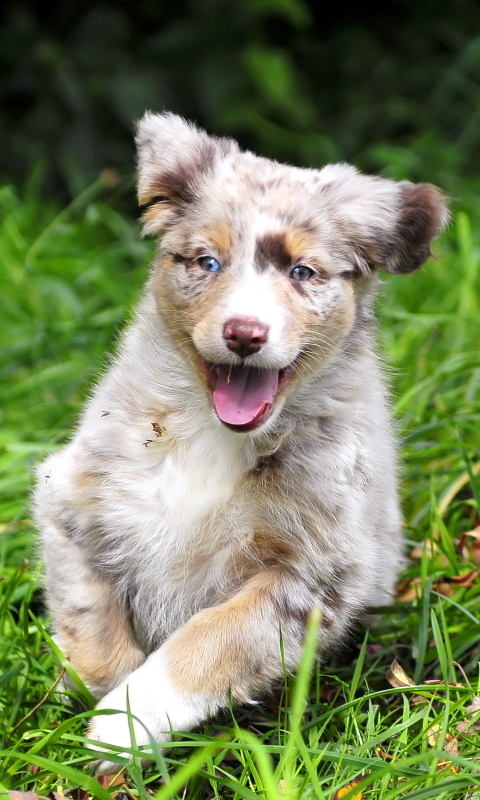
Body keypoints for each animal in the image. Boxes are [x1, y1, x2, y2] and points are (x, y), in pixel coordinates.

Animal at [32, 112, 446, 768]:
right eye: (207, 262)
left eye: (302, 273)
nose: (245, 333)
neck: (211, 436)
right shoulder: (70, 497)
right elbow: (89, 617)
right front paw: (99, 734)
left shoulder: (311, 575)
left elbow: (210, 642)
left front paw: (124, 728)